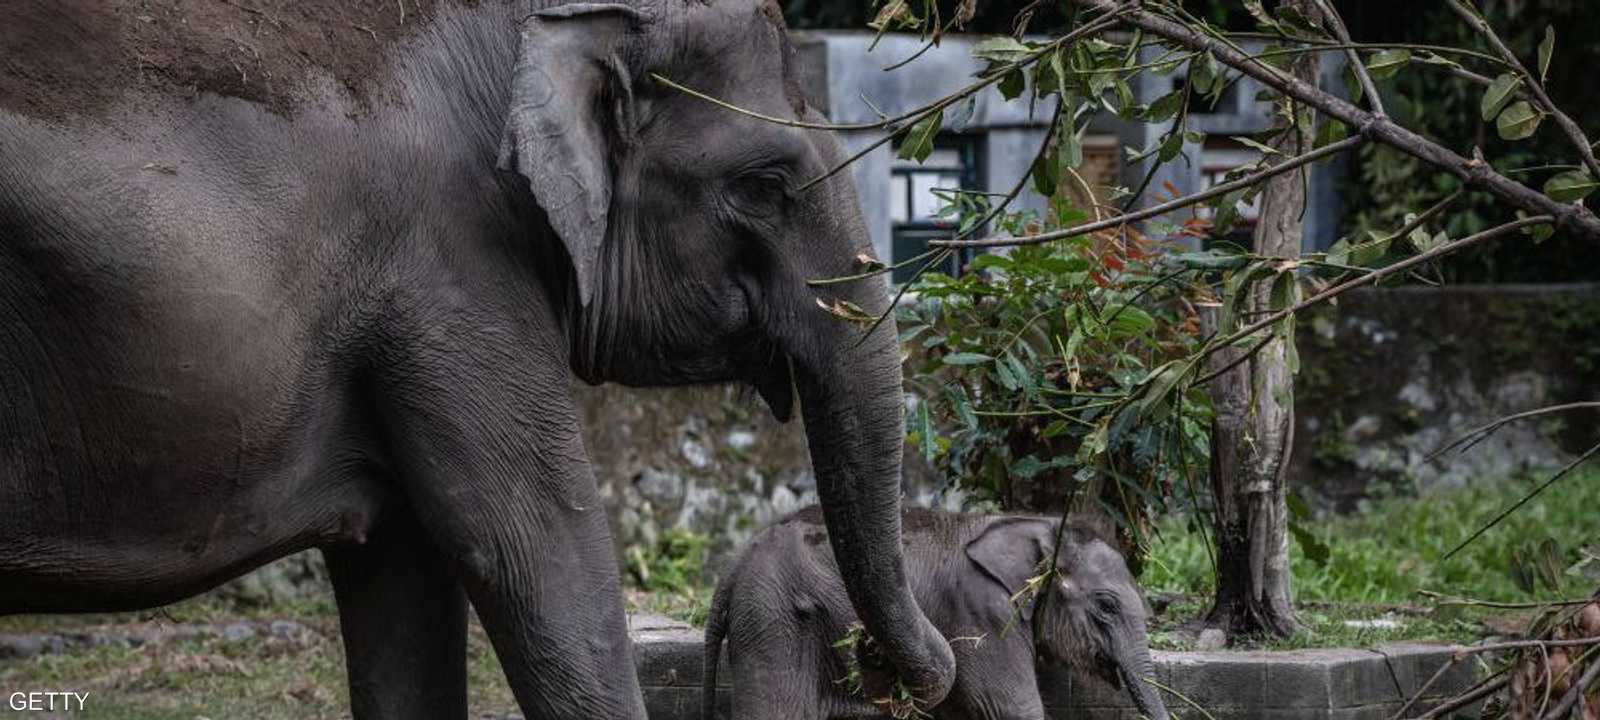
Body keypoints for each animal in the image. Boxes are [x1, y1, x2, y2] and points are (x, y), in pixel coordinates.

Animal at [707, 505, 1171, 720]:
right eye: (1106, 606)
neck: (1036, 525)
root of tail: (732, 568)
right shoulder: (982, 615)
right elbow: (1009, 708)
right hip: (772, 621)